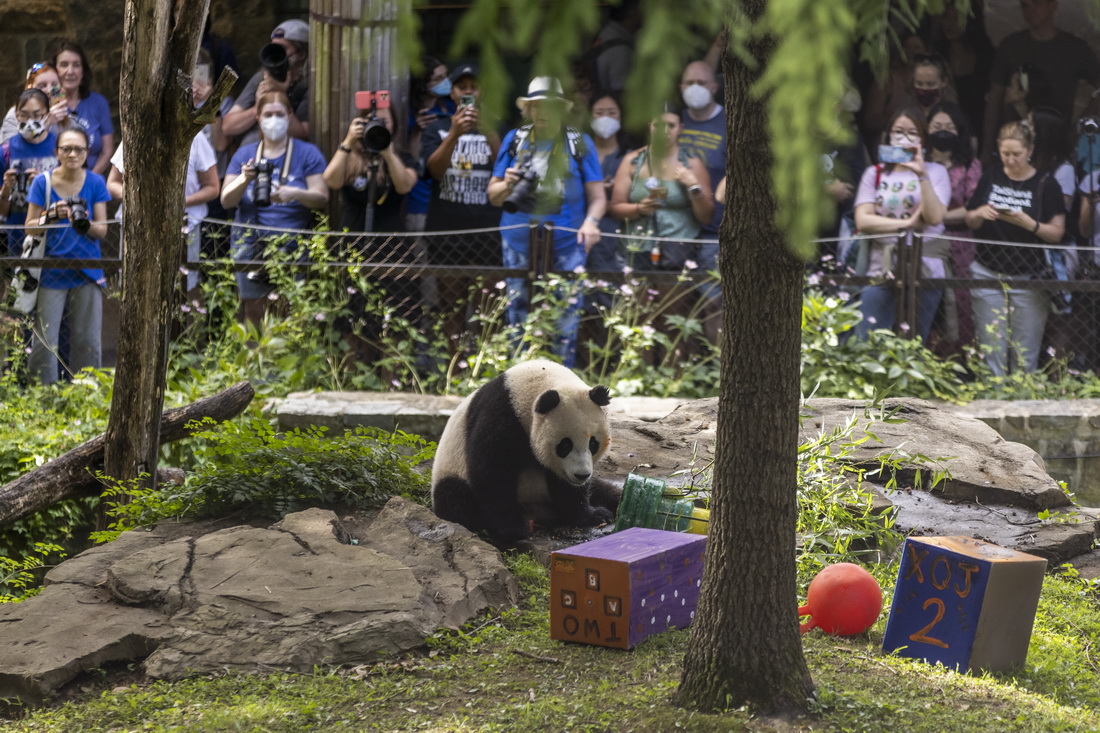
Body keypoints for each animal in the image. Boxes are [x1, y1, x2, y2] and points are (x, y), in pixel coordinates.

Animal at [429, 358, 620, 541]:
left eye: (593, 443)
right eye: (565, 445)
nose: (581, 475)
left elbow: (567, 487)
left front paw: (594, 516)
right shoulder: (500, 415)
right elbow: (492, 472)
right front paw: (512, 528)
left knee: (603, 489)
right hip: (451, 470)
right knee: (456, 499)